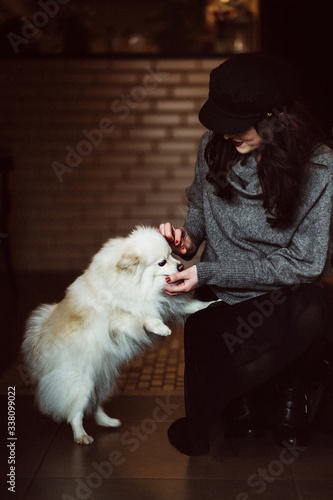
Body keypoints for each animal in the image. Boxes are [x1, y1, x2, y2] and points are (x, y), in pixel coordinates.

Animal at [22, 225, 213, 444]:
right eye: (162, 262)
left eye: (172, 254)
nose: (181, 266)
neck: (134, 284)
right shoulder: (119, 316)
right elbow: (141, 316)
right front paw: (161, 328)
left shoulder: (167, 303)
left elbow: (191, 306)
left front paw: (212, 304)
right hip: (81, 385)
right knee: (75, 413)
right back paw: (81, 435)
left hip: (100, 381)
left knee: (95, 405)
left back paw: (108, 422)